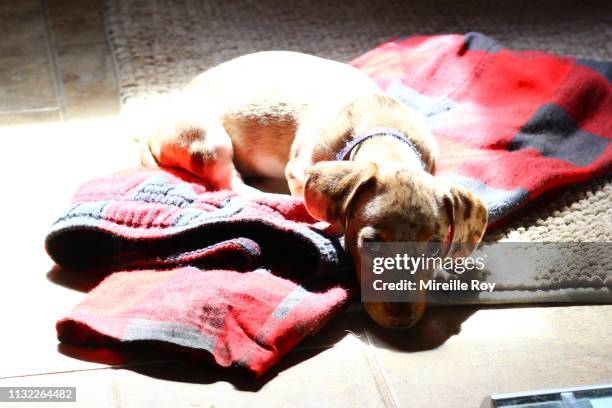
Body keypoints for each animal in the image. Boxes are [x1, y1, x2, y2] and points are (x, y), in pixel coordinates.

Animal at [140, 50, 488, 328]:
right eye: (370, 245)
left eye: (433, 250)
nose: (401, 321)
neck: (383, 132)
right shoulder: (299, 171)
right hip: (209, 142)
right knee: (230, 182)